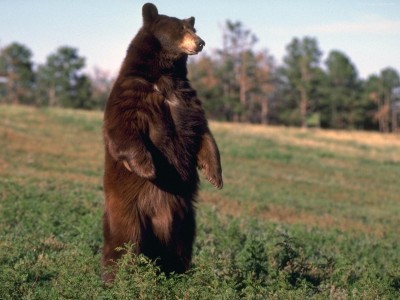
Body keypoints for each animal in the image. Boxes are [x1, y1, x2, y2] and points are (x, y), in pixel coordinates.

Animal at [101, 2, 223, 282]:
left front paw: (215, 176)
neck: (165, 75)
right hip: (130, 211)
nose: (200, 42)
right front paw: (148, 167)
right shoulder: (133, 93)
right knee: (124, 242)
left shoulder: (187, 99)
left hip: (185, 218)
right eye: (180, 29)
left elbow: (202, 132)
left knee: (180, 247)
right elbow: (123, 129)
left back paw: (180, 274)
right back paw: (116, 277)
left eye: (193, 28)